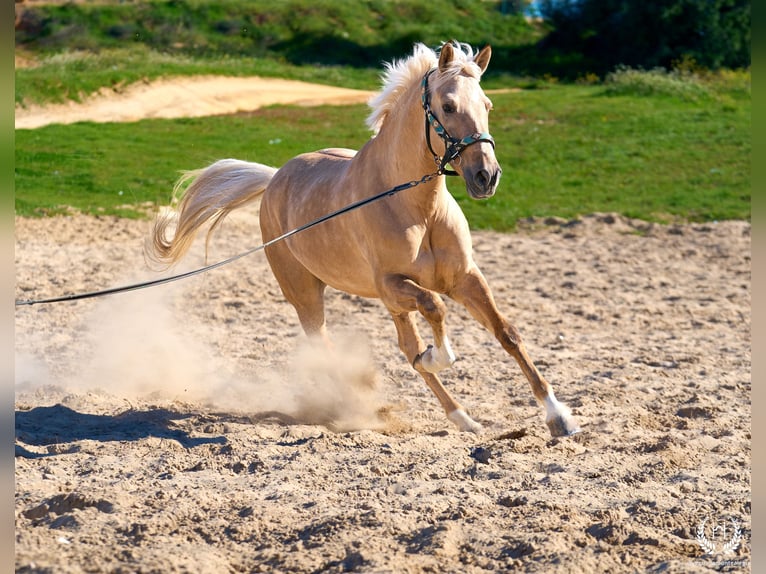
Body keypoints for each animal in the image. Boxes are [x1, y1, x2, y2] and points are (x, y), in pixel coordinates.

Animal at [148, 41, 580, 437]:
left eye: (487, 105)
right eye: (448, 106)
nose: (486, 177)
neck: (417, 207)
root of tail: (273, 180)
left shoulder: (464, 278)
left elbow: (507, 333)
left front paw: (559, 418)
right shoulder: (391, 285)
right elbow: (435, 309)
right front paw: (437, 356)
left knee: (405, 346)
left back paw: (464, 419)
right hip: (306, 295)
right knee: (330, 345)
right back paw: (358, 405)